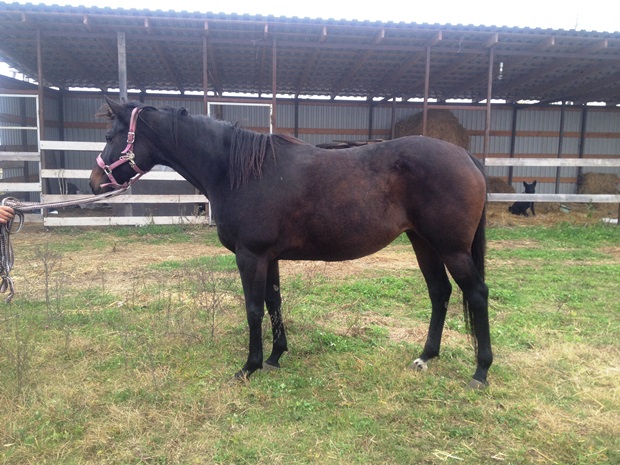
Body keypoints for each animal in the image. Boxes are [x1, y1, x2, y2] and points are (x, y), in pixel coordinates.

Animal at [90, 98, 493, 389]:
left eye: (110, 137)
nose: (94, 182)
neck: (237, 171)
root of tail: (466, 156)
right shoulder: (269, 258)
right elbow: (274, 302)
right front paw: (275, 357)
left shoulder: (250, 256)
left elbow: (253, 309)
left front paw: (249, 367)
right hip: (423, 242)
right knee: (440, 292)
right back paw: (426, 357)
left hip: (452, 249)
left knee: (475, 293)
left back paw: (480, 372)